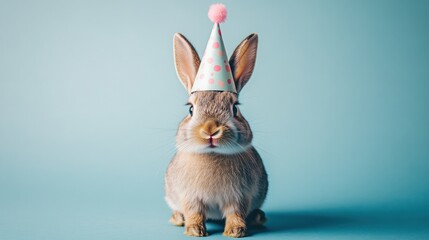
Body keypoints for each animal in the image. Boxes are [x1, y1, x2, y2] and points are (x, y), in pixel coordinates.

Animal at [165, 32, 268, 238]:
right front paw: (194, 230)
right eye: (190, 109)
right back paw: (177, 219)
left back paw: (258, 218)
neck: (212, 154)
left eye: (235, 108)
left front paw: (235, 231)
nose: (210, 129)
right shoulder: (190, 197)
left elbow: (236, 213)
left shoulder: (239, 197)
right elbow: (194, 212)